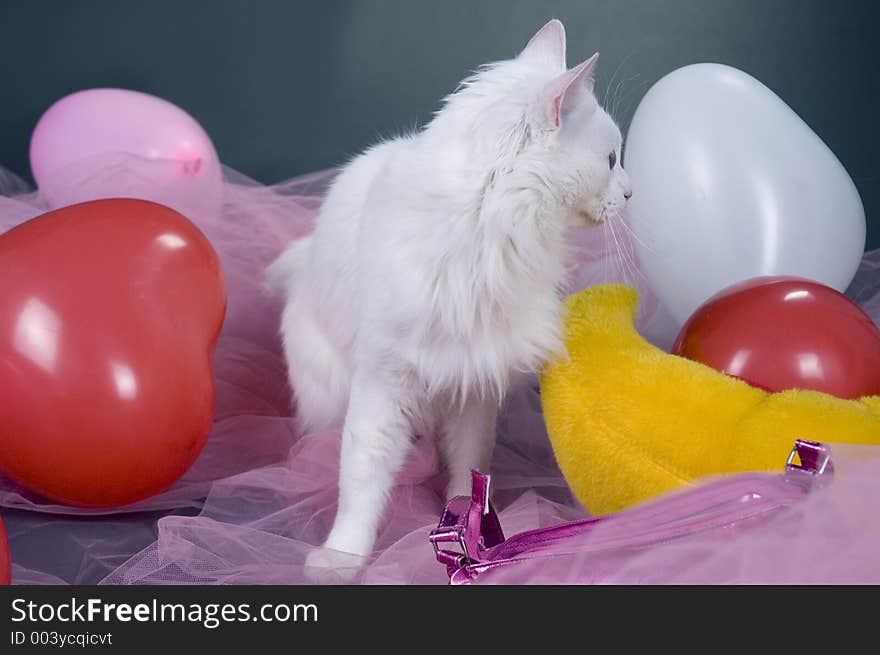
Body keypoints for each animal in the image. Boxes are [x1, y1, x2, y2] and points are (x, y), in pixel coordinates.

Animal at [268, 18, 632, 576]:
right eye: (611, 160)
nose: (631, 191)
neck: (491, 230)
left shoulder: (475, 382)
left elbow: (468, 473)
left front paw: (470, 531)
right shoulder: (383, 384)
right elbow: (361, 480)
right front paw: (343, 556)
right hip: (329, 392)